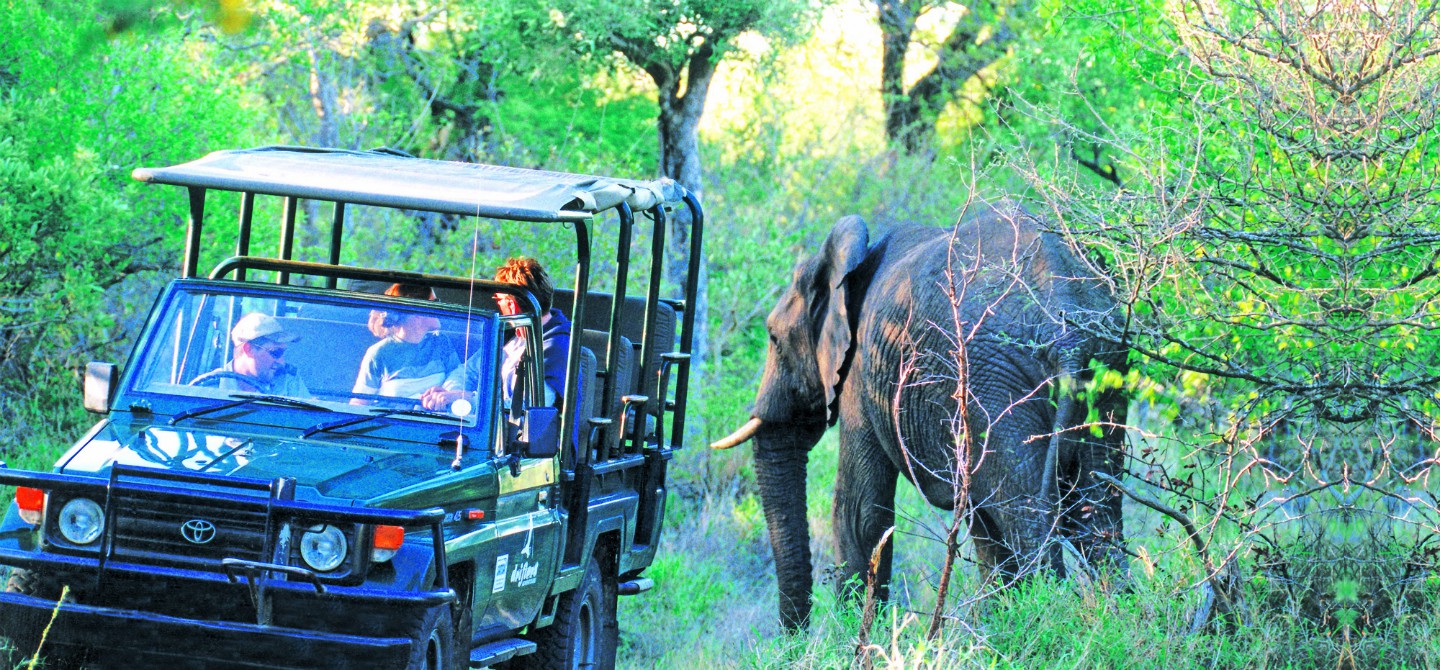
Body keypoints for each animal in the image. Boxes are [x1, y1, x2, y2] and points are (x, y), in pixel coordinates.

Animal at [714, 206, 1128, 628]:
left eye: (773, 339)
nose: (792, 636)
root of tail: (1069, 330)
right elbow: (984, 528)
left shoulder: (860, 372)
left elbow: (860, 511)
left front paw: (852, 637)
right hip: (1102, 367)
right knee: (1095, 512)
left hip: (993, 384)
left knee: (1026, 513)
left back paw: (1049, 616)